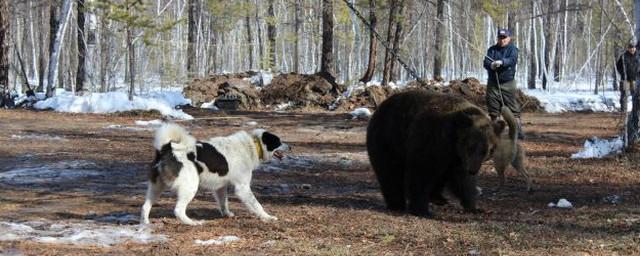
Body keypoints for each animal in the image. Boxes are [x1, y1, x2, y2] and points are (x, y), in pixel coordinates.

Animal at [142, 123, 290, 225]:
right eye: (279, 141)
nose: (290, 146)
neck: (253, 144)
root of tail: (167, 148)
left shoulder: (221, 187)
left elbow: (224, 203)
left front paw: (227, 214)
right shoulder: (243, 188)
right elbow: (257, 205)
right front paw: (267, 217)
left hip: (156, 187)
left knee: (145, 207)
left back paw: (145, 224)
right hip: (190, 187)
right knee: (178, 210)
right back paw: (192, 223)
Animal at [364, 90, 504, 216]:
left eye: (488, 150)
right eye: (471, 146)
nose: (473, 170)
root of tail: (379, 108)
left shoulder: (456, 157)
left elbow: (463, 181)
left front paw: (474, 207)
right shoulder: (430, 139)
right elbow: (420, 173)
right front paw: (421, 209)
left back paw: (438, 198)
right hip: (389, 139)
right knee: (389, 172)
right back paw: (397, 204)